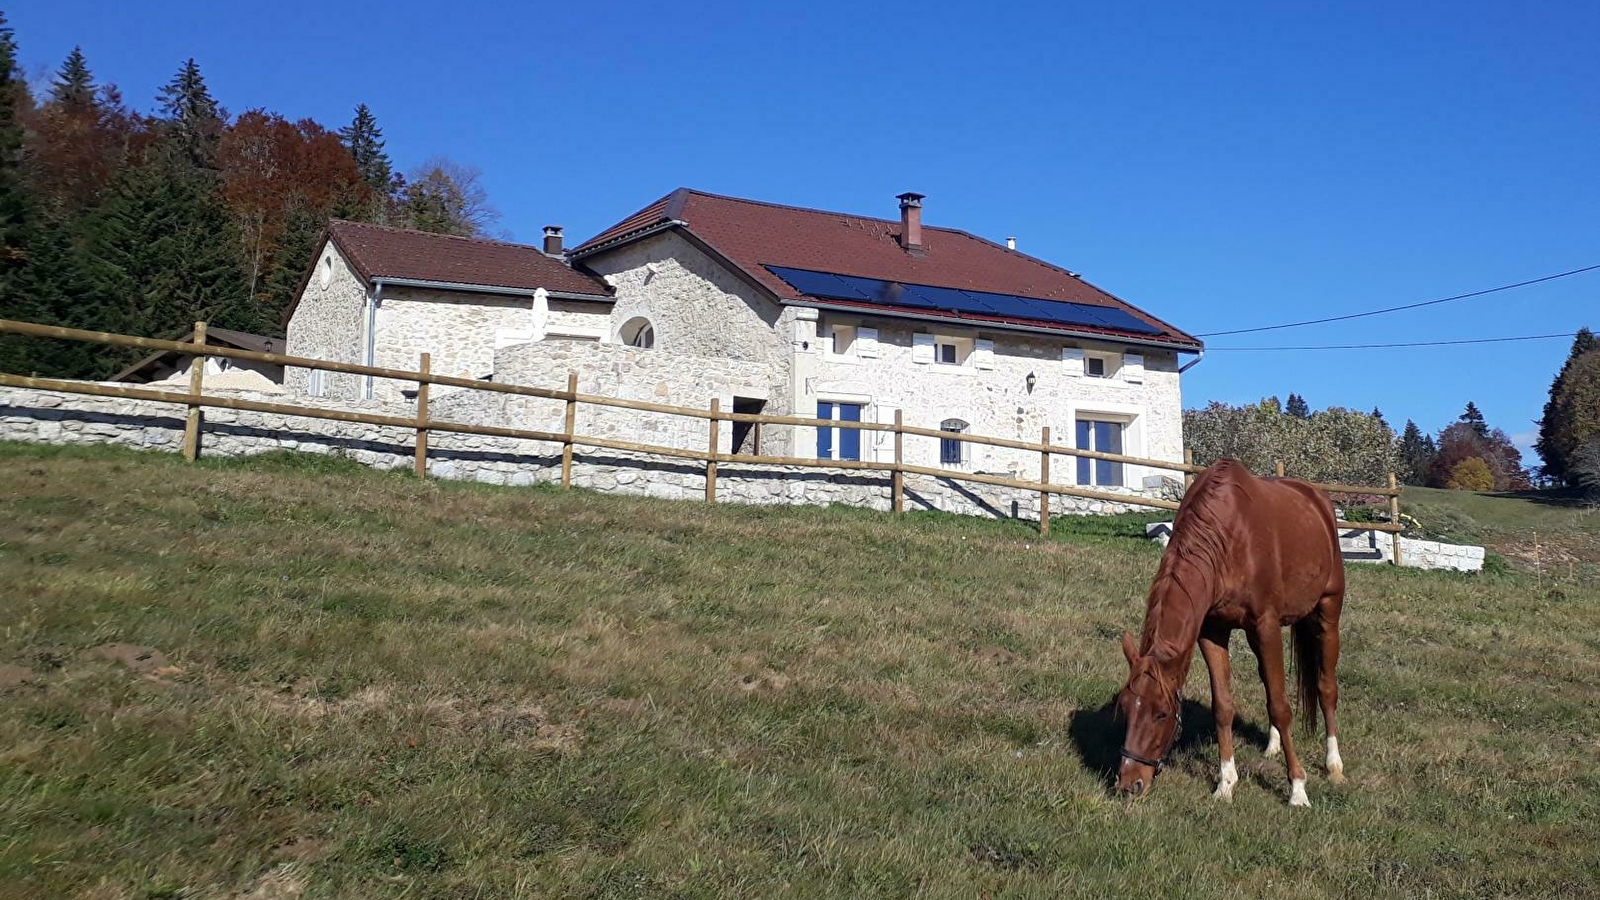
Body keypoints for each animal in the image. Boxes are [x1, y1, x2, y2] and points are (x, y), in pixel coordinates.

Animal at [1113, 458, 1350, 800]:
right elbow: (1224, 706)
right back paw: (1272, 746)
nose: (1129, 784)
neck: (1228, 537)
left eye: (1161, 713)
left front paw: (1297, 788)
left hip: (1328, 614)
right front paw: (1225, 783)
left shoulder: (1266, 626)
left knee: (1326, 687)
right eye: (1125, 708)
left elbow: (1281, 706)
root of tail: (1318, 500)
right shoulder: (1213, 631)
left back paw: (1334, 766)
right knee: (1269, 682)